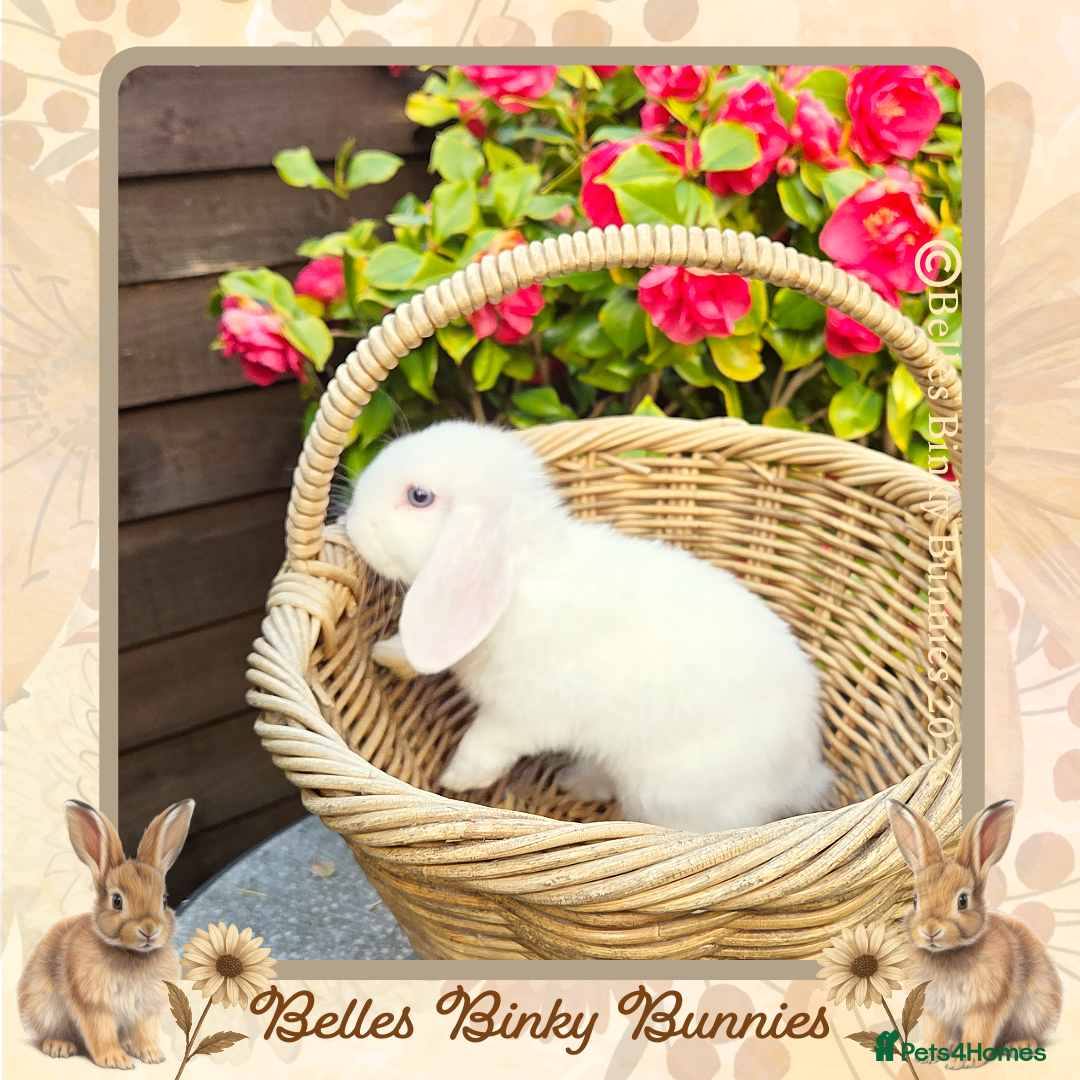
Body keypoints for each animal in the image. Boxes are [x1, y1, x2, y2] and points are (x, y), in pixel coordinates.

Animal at [17, 799, 195, 1069]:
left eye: (164, 900)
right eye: (117, 901)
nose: (149, 930)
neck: (131, 954)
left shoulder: (145, 1010)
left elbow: (145, 1031)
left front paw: (153, 1055)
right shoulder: (95, 1005)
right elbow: (101, 1032)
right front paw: (116, 1060)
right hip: (45, 1008)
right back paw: (60, 1046)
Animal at [344, 420, 834, 834]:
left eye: (419, 496)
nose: (349, 519)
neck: (522, 571)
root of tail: (803, 771)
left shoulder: (520, 715)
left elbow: (484, 746)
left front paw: (455, 781)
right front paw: (385, 654)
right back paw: (575, 782)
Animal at [887, 798, 1063, 1067]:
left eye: (962, 901)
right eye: (916, 900)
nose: (930, 930)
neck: (949, 953)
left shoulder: (984, 1005)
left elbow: (978, 1031)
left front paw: (963, 1061)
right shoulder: (935, 1009)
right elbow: (934, 1031)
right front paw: (927, 1056)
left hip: (1033, 1009)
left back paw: (1019, 1045)